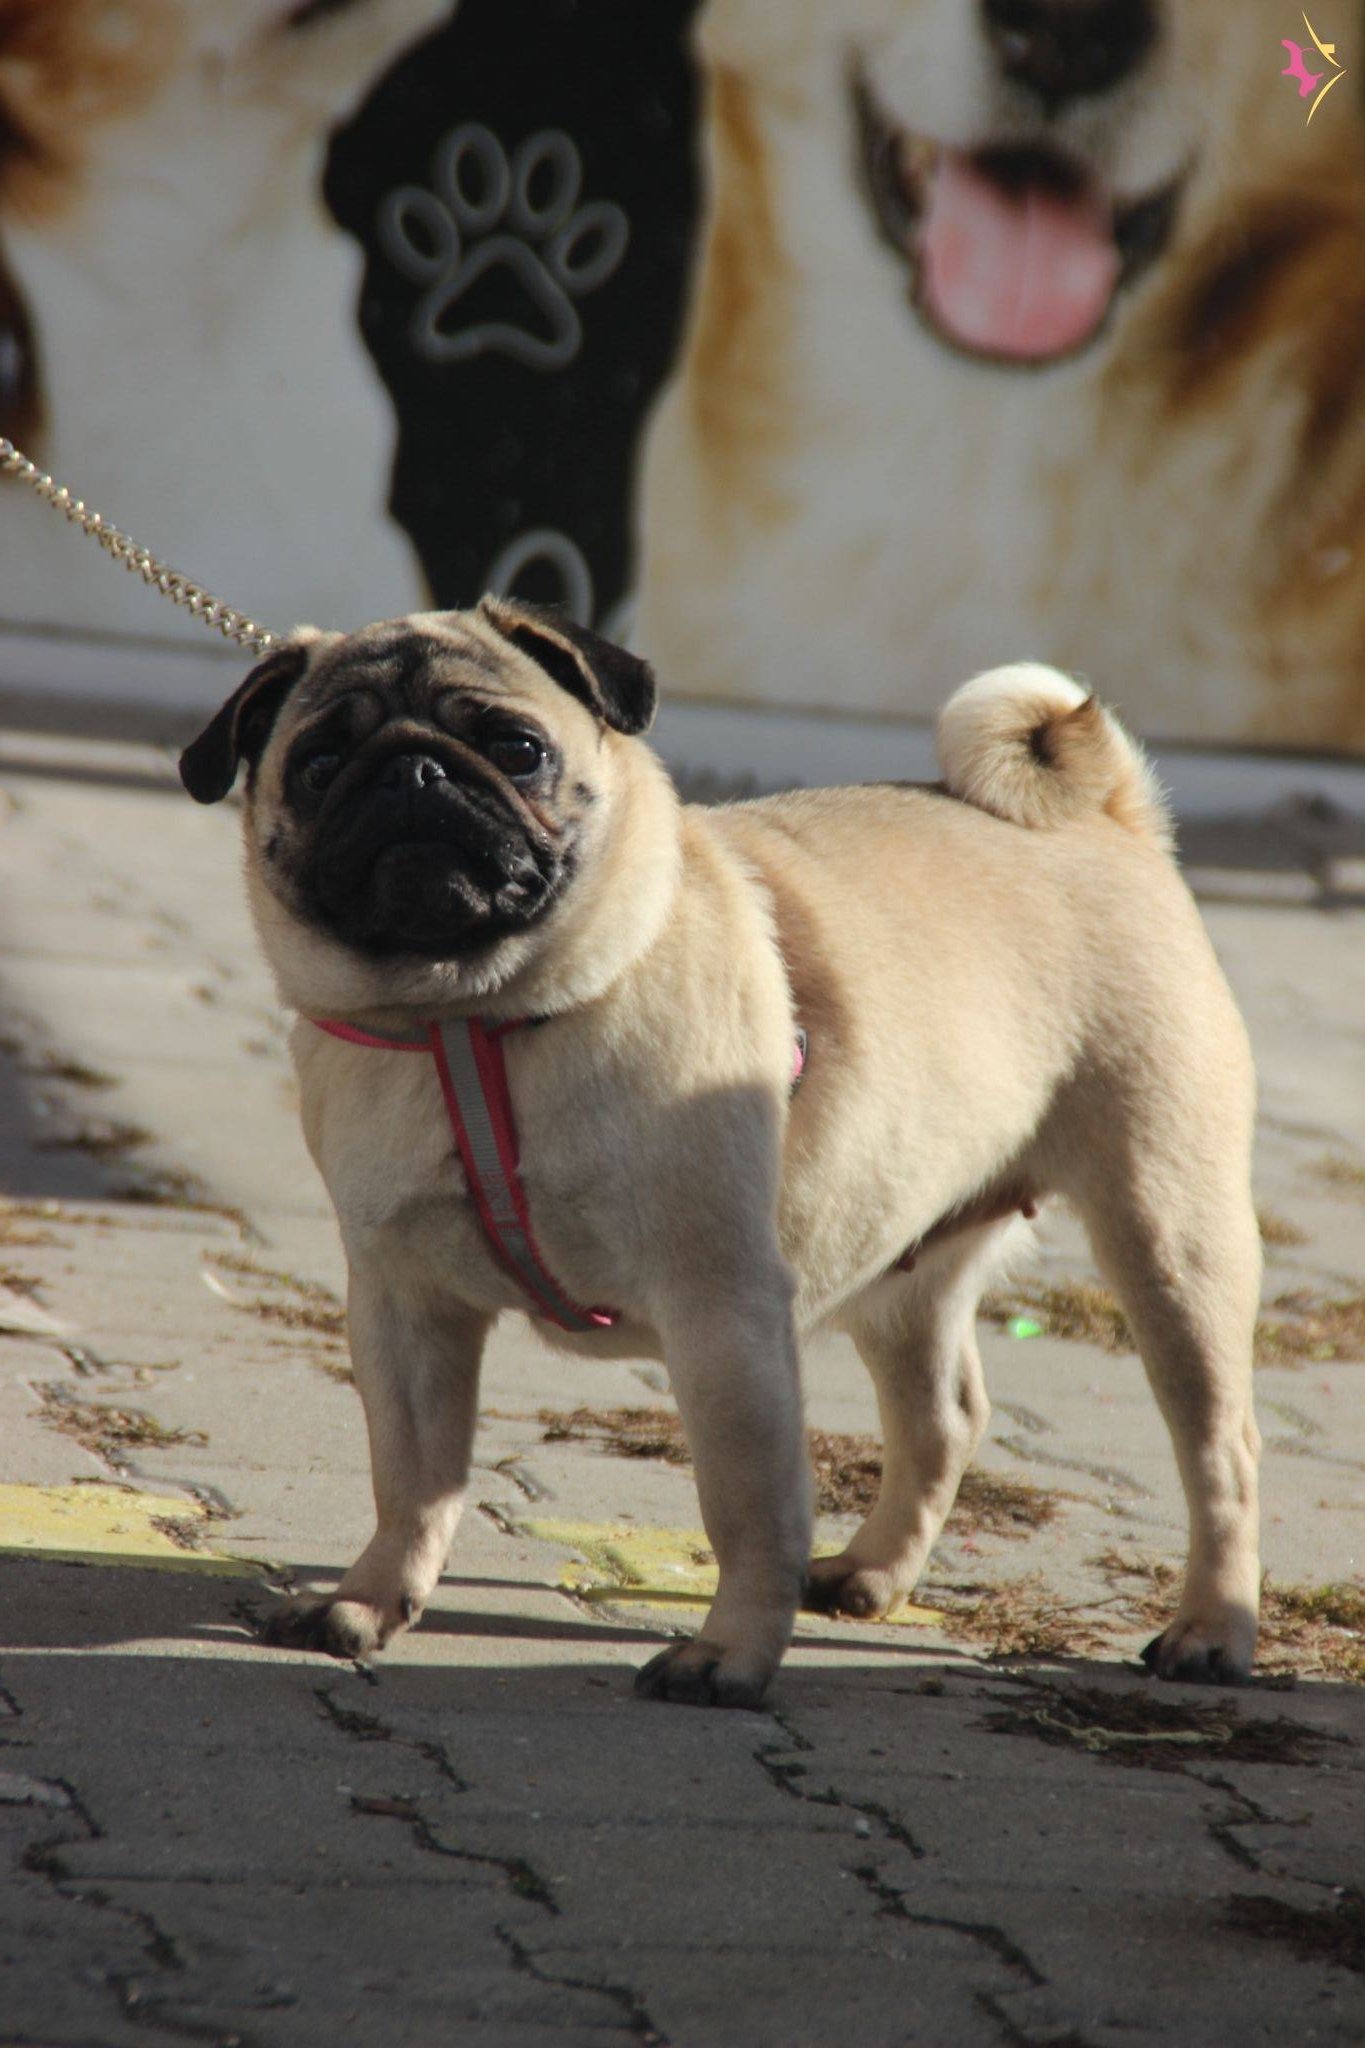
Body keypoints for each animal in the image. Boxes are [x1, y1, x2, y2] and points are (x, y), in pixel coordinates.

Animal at [179, 600, 1262, 1707]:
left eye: (515, 748)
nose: (413, 771)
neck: (467, 1017)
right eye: (318, 765)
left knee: (1220, 1448)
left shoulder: (721, 1307)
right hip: (905, 1264)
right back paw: (872, 1571)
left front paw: (729, 1654)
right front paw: (368, 1599)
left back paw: (1211, 1630)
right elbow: (411, 1475)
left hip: (1167, 1235)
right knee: (942, 1416)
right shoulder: (403, 1303)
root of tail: (1105, 817)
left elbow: (744, 1503)